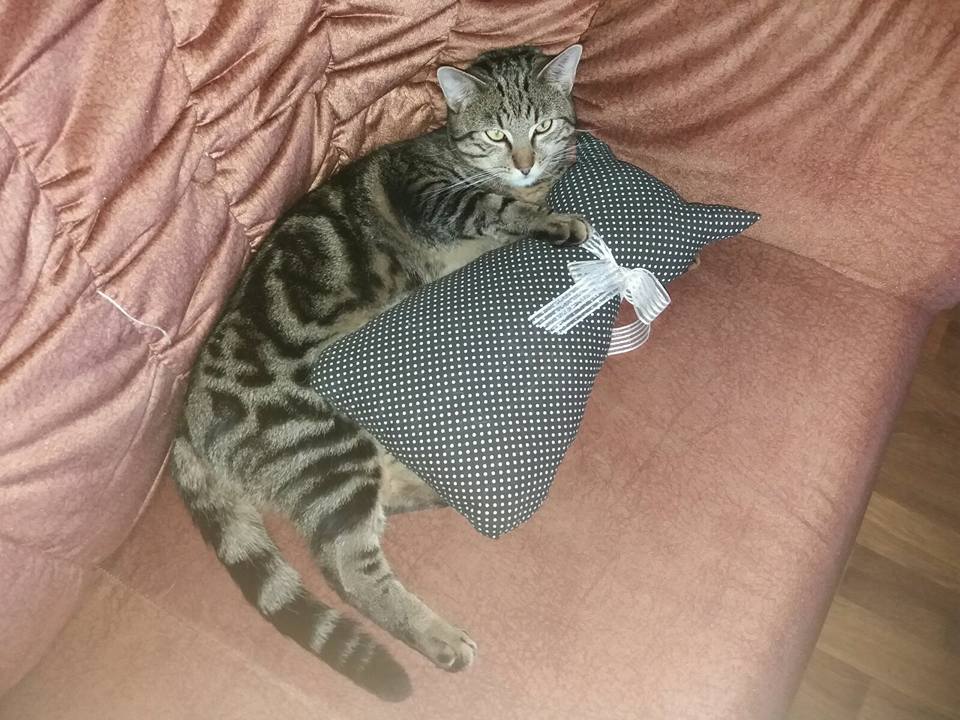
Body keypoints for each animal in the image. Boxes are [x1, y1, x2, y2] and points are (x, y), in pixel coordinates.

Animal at [172, 44, 586, 701]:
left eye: (541, 126)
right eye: (496, 133)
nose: (524, 164)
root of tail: (185, 423)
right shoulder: (434, 195)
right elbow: (499, 208)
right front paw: (552, 218)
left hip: (342, 452)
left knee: (378, 503)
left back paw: (439, 492)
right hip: (325, 443)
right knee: (349, 566)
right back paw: (436, 636)